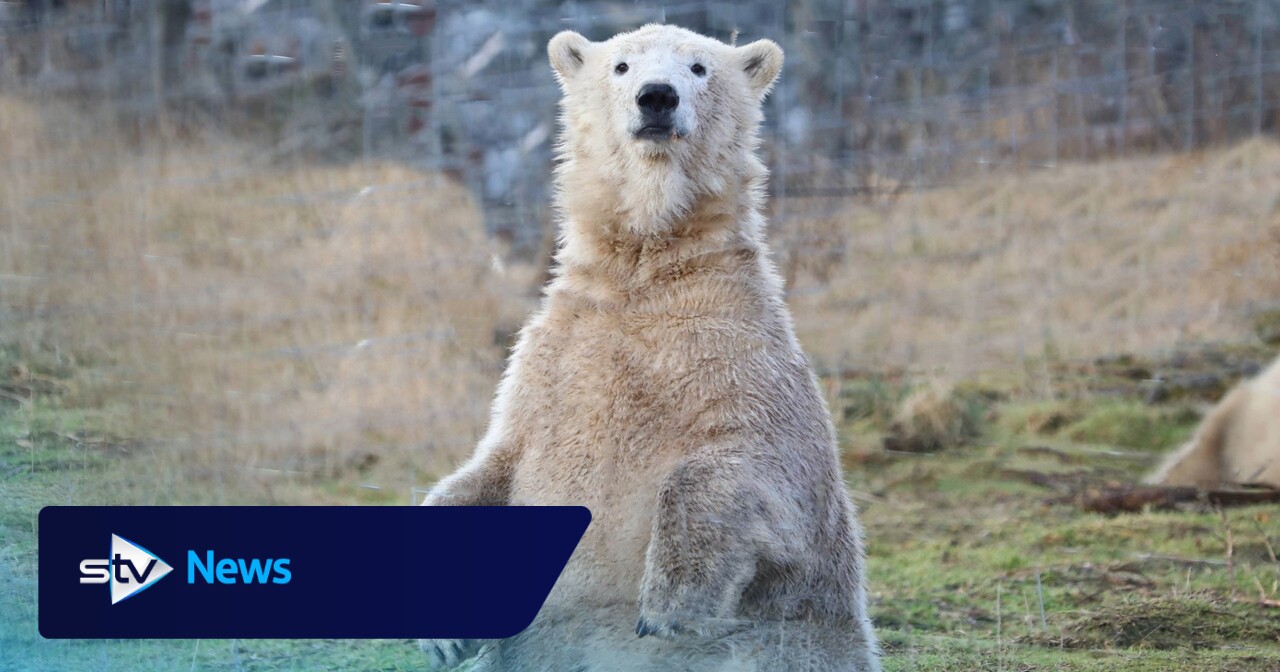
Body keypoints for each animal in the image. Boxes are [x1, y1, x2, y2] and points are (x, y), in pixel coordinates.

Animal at [419, 24, 880, 672]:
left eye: (698, 67)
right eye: (621, 65)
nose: (657, 96)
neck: (645, 270)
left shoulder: (738, 346)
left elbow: (760, 461)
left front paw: (669, 606)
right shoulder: (550, 357)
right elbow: (495, 460)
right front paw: (442, 631)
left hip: (783, 642)